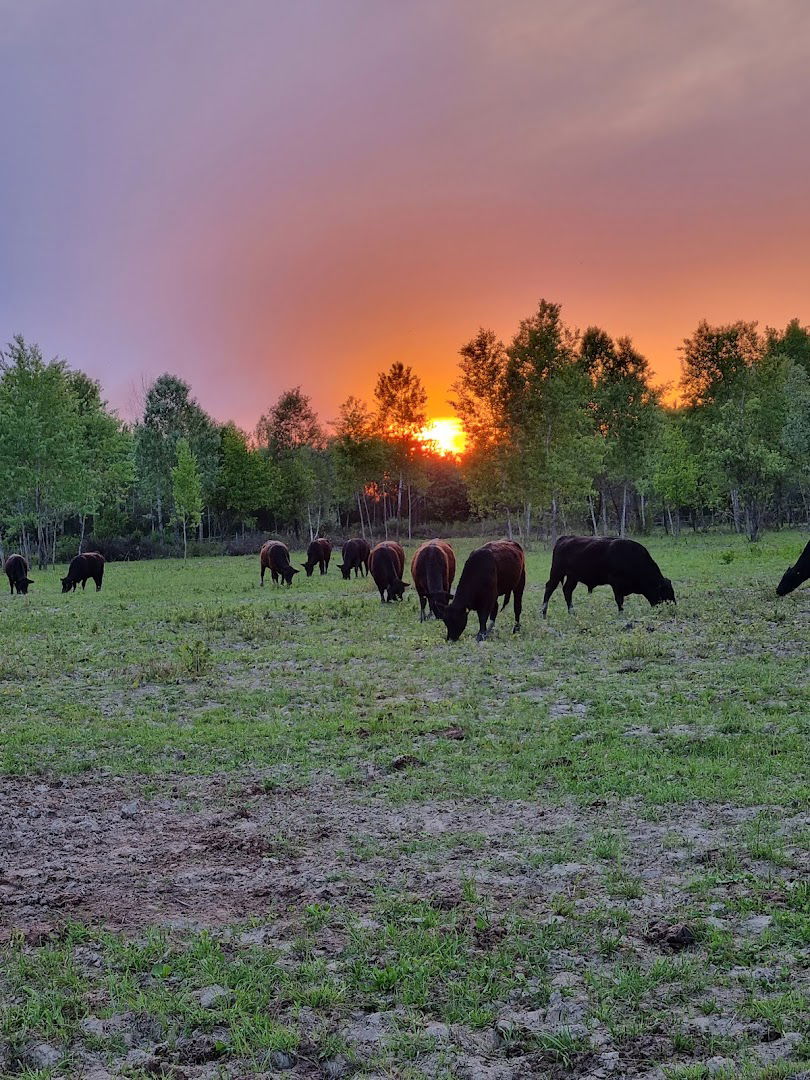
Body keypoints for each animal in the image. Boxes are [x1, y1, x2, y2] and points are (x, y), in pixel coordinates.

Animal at [542, 536, 675, 616]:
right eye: (665, 592)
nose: (673, 607)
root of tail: (565, 538)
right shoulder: (616, 585)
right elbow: (619, 601)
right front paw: (621, 614)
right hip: (557, 572)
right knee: (549, 587)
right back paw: (543, 613)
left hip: (572, 577)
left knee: (567, 590)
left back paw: (572, 613)